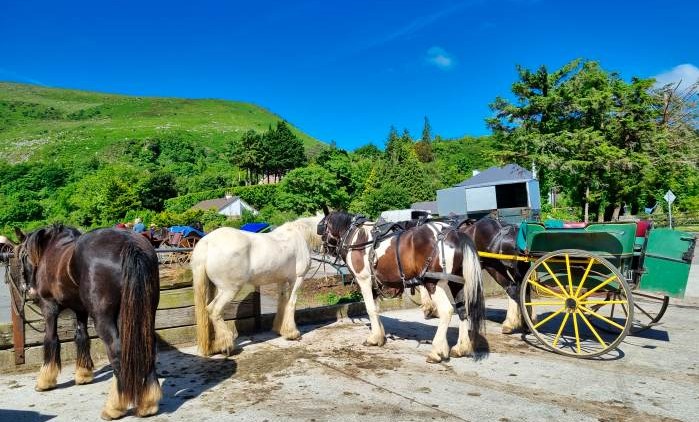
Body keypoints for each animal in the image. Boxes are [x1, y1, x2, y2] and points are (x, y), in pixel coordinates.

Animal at [12, 224, 161, 418]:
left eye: (22, 255)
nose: (28, 289)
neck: (51, 249)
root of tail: (130, 244)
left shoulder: (49, 307)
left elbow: (51, 340)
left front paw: (45, 381)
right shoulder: (80, 309)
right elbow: (81, 337)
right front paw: (83, 374)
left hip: (103, 317)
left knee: (116, 351)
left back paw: (114, 407)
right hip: (146, 312)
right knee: (148, 347)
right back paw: (148, 403)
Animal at [191, 214, 322, 356]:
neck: (299, 235)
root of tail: (207, 243)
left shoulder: (281, 280)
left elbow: (282, 302)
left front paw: (280, 329)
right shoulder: (297, 279)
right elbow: (291, 303)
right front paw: (292, 333)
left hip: (213, 288)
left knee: (208, 310)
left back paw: (213, 347)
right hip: (229, 290)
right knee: (214, 310)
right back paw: (227, 345)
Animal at [318, 209, 486, 362]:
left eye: (322, 228)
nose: (324, 249)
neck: (357, 237)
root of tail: (454, 234)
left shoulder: (364, 280)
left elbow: (370, 309)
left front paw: (373, 338)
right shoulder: (375, 283)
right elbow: (376, 309)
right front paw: (380, 336)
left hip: (433, 283)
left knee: (447, 310)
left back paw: (436, 351)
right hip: (455, 282)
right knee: (463, 309)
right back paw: (461, 348)